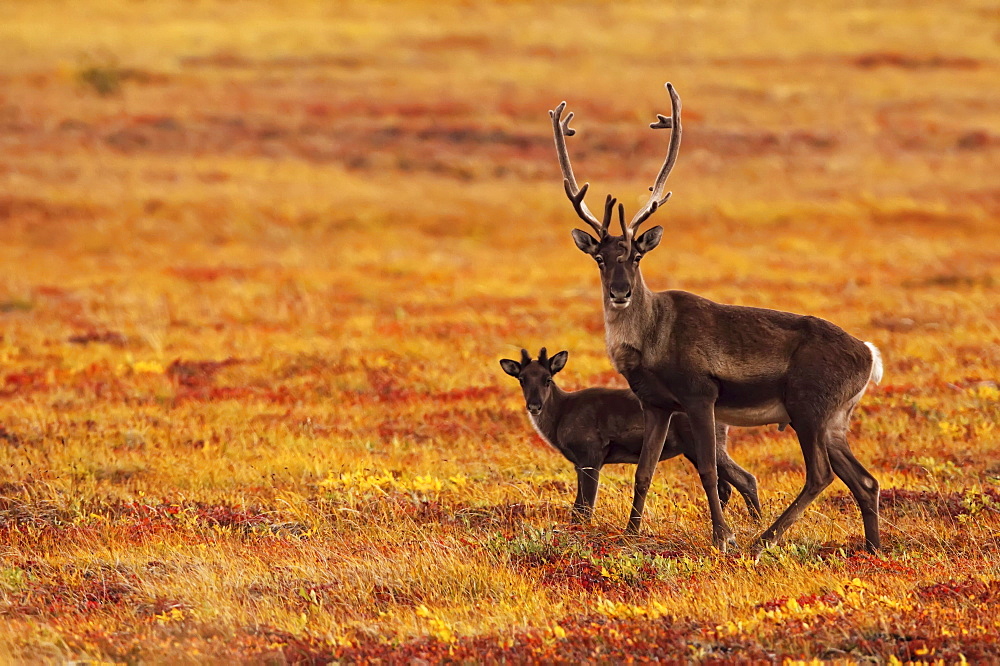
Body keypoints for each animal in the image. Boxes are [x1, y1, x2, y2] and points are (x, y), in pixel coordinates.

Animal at [500, 344, 756, 520]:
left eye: (548, 379)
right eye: (521, 379)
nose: (534, 406)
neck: (562, 415)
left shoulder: (591, 453)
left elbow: (585, 507)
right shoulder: (578, 462)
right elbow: (578, 507)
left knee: (746, 478)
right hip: (695, 449)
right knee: (726, 486)